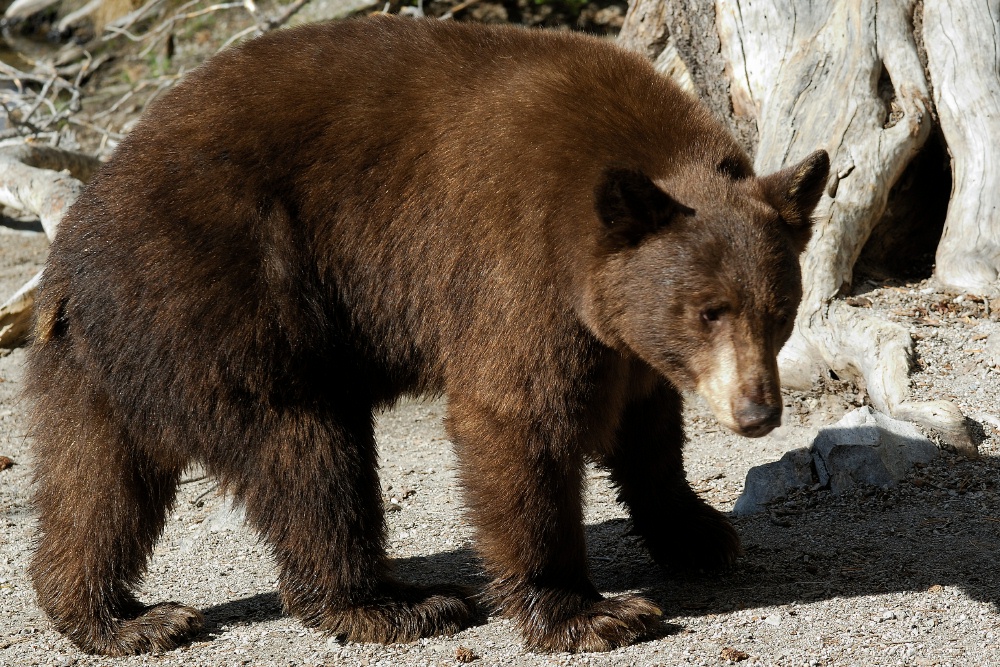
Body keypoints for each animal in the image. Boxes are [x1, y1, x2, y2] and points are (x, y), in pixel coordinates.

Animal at [27, 15, 832, 656]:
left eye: (779, 308)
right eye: (707, 309)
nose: (758, 412)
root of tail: (73, 250)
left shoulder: (620, 340)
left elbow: (647, 429)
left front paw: (699, 533)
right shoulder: (521, 257)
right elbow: (519, 418)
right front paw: (587, 611)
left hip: (102, 356)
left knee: (93, 479)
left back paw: (118, 617)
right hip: (234, 292)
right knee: (307, 452)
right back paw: (396, 603)